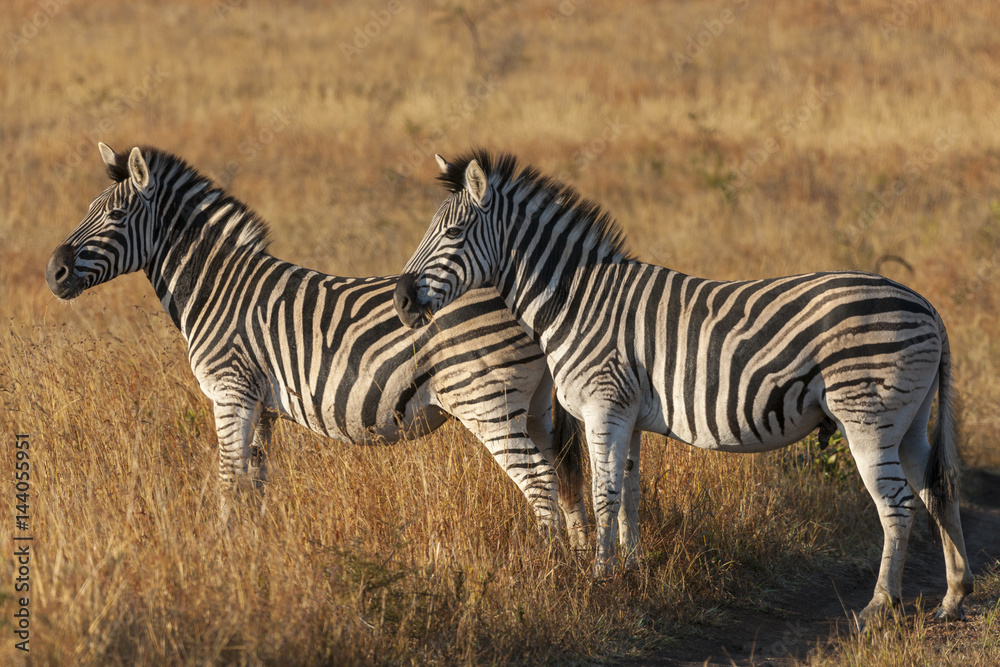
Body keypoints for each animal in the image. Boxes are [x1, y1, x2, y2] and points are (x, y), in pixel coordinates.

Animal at [47, 142, 588, 544]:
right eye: (90, 210)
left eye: (116, 216)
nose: (53, 273)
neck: (216, 286)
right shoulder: (260, 405)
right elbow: (254, 484)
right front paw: (252, 553)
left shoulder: (230, 392)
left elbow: (227, 480)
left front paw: (222, 556)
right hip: (535, 404)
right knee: (565, 477)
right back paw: (583, 570)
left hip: (485, 400)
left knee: (539, 480)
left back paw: (546, 570)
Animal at [394, 150, 972, 632]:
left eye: (454, 233)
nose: (401, 300)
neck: (576, 301)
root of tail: (928, 305)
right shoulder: (627, 413)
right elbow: (630, 493)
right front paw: (633, 570)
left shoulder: (604, 406)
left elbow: (604, 496)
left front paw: (601, 579)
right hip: (910, 420)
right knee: (934, 489)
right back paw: (953, 597)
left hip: (868, 417)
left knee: (897, 503)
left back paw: (879, 607)